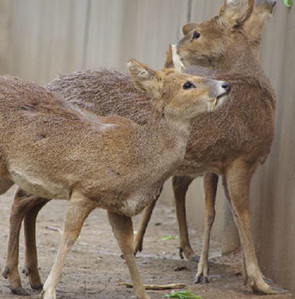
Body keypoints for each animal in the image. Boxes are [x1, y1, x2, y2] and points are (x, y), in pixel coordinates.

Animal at [0, 60, 231, 299]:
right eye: (187, 84)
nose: (225, 85)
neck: (137, 157)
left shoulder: (117, 206)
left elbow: (126, 245)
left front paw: (143, 293)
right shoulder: (84, 190)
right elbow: (69, 237)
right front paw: (50, 290)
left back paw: (19, 278)